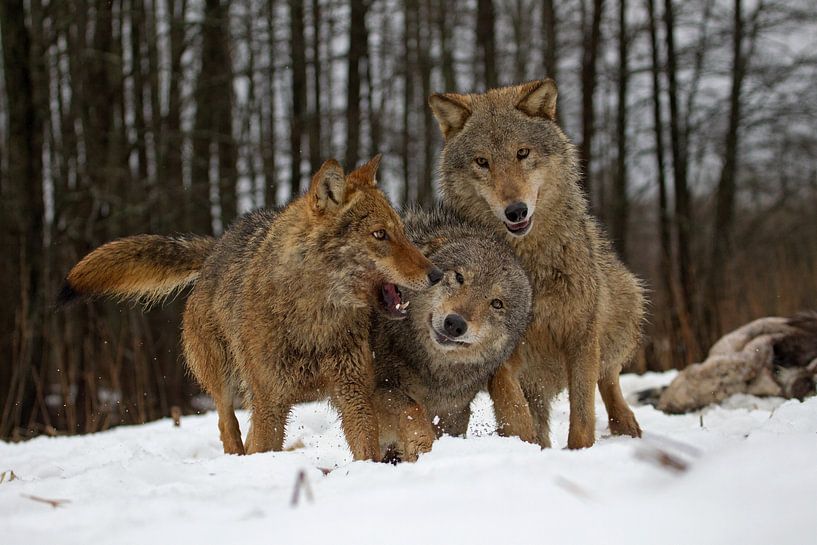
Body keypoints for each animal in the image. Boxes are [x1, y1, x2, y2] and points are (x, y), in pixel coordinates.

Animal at [372, 206, 536, 462]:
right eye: (459, 278)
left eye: (496, 304)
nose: (455, 324)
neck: (432, 374)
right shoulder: (377, 390)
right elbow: (411, 409)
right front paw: (424, 450)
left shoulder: (452, 413)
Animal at [430, 79, 648, 446]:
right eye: (482, 161)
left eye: (522, 153)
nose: (516, 211)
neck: (531, 268)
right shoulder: (500, 356)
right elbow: (514, 413)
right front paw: (527, 448)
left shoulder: (581, 336)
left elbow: (583, 415)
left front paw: (579, 451)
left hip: (627, 305)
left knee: (608, 376)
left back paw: (626, 425)